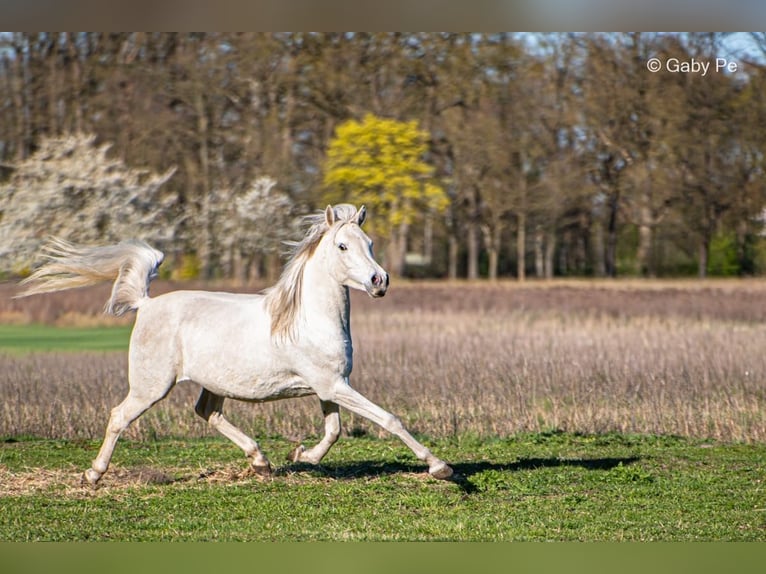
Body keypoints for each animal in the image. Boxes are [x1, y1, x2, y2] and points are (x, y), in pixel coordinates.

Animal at [17, 204, 453, 485]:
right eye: (343, 246)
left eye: (371, 242)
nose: (380, 281)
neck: (308, 319)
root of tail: (147, 303)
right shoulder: (333, 386)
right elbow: (389, 420)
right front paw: (440, 467)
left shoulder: (328, 387)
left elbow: (333, 431)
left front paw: (300, 456)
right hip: (150, 386)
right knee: (119, 416)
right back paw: (93, 475)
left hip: (213, 384)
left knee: (207, 413)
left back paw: (261, 462)